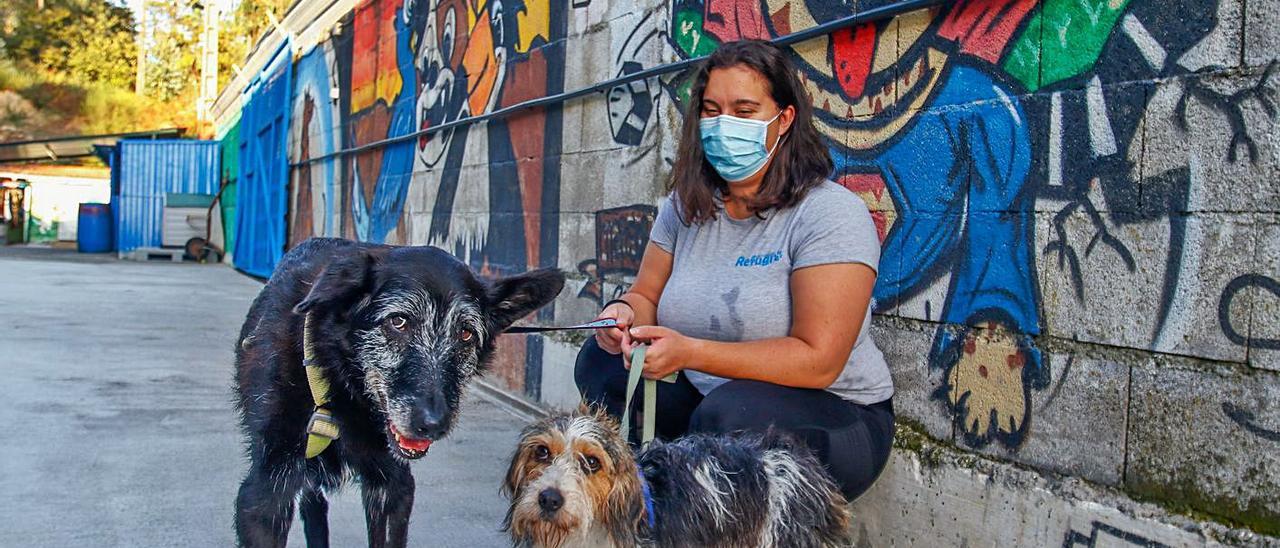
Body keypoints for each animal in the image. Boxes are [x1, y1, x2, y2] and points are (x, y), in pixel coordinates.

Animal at [236, 238, 565, 548]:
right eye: (398, 321)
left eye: (466, 333)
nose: (433, 424)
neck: (341, 391)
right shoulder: (265, 492)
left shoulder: (394, 487)